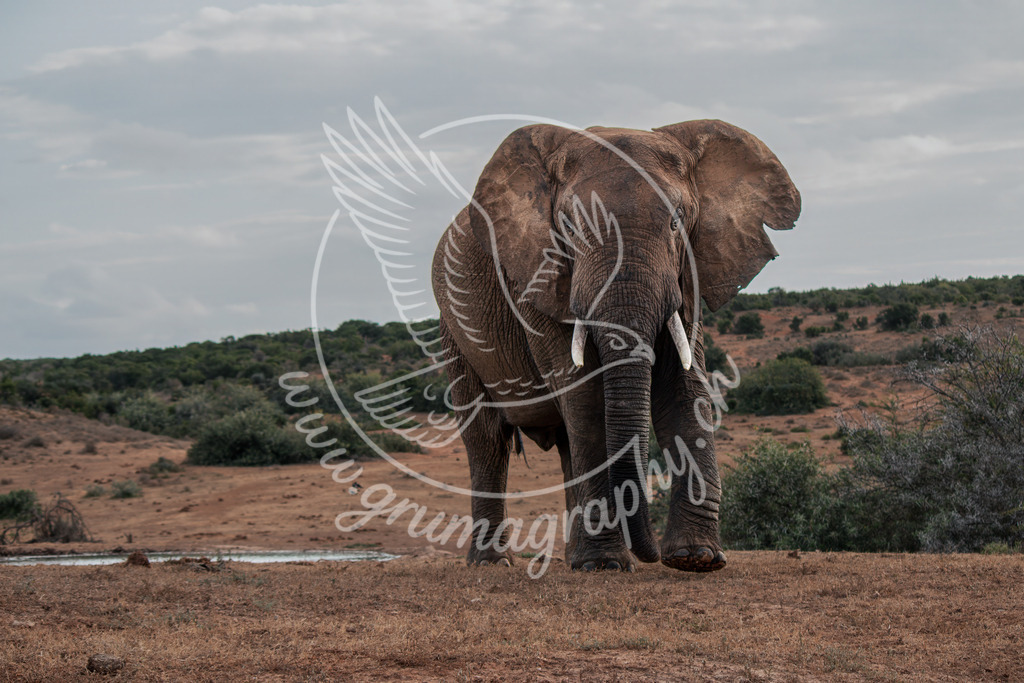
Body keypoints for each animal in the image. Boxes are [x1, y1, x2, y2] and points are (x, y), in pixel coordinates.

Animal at [429, 119, 801, 572]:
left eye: (677, 222)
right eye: (570, 228)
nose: (654, 556)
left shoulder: (690, 272)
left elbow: (682, 389)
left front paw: (696, 559)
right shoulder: (538, 279)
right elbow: (586, 398)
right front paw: (607, 565)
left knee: (563, 443)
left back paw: (572, 559)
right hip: (454, 330)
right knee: (486, 440)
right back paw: (493, 564)